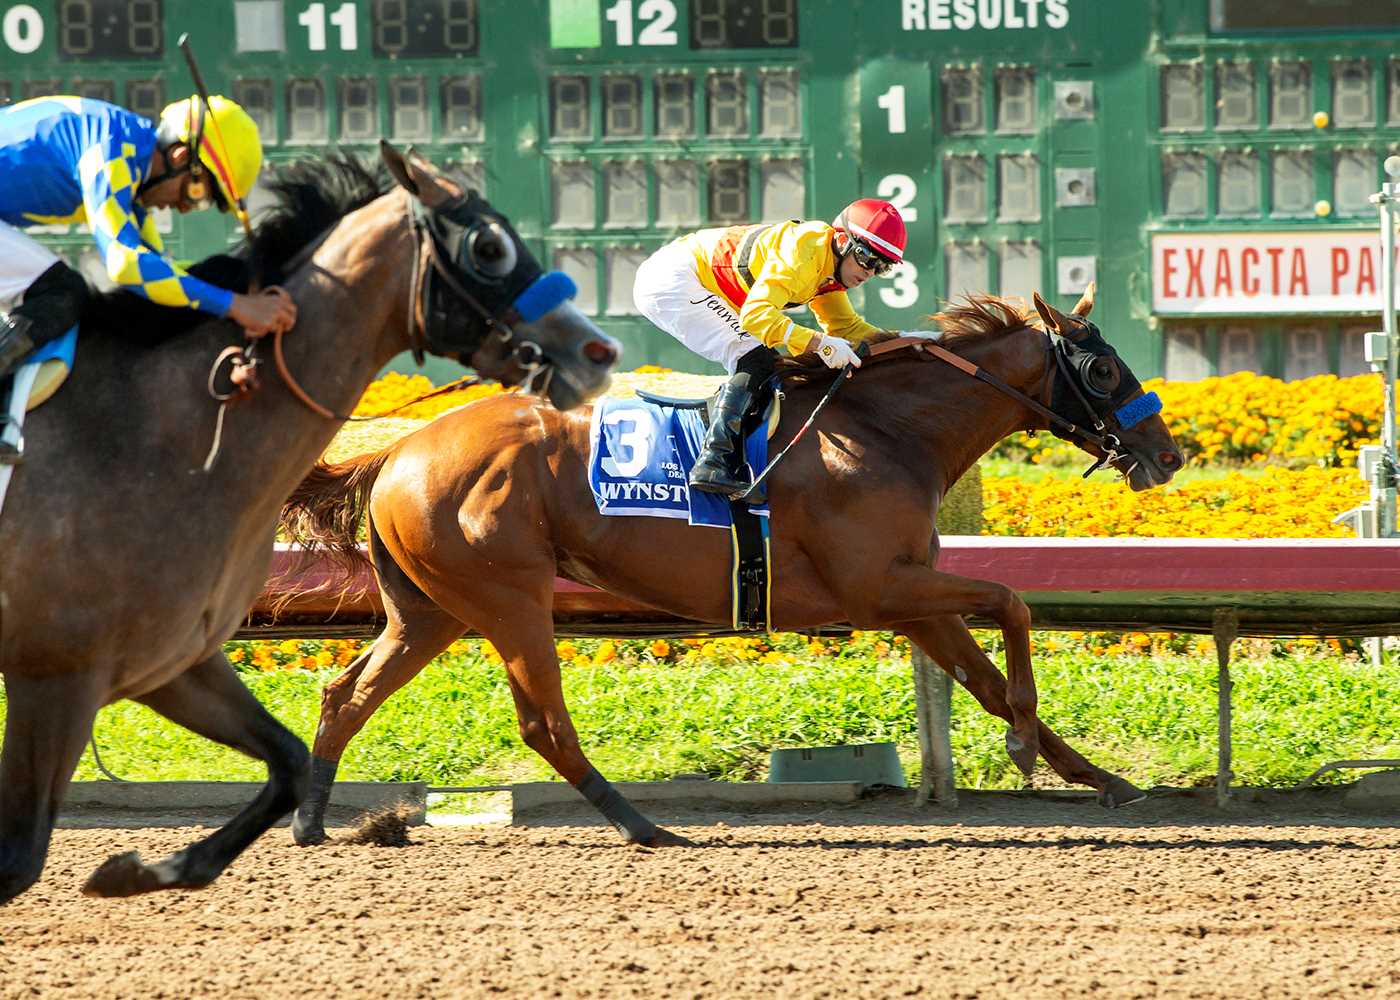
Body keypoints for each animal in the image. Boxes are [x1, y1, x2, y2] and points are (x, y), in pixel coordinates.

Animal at [0, 141, 619, 903]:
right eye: (488, 245)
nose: (597, 351)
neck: (153, 438)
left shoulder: (170, 660)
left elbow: (289, 763)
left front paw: (147, 869)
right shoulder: (55, 672)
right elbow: (17, 858)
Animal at [280, 288, 1183, 847]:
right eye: (1102, 368)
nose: (1168, 455)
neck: (888, 430)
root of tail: (399, 447)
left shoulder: (912, 601)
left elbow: (988, 676)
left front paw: (1096, 776)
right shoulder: (878, 588)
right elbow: (1013, 601)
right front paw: (1027, 744)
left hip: (431, 609)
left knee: (345, 693)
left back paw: (311, 820)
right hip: (508, 598)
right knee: (542, 724)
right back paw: (645, 827)